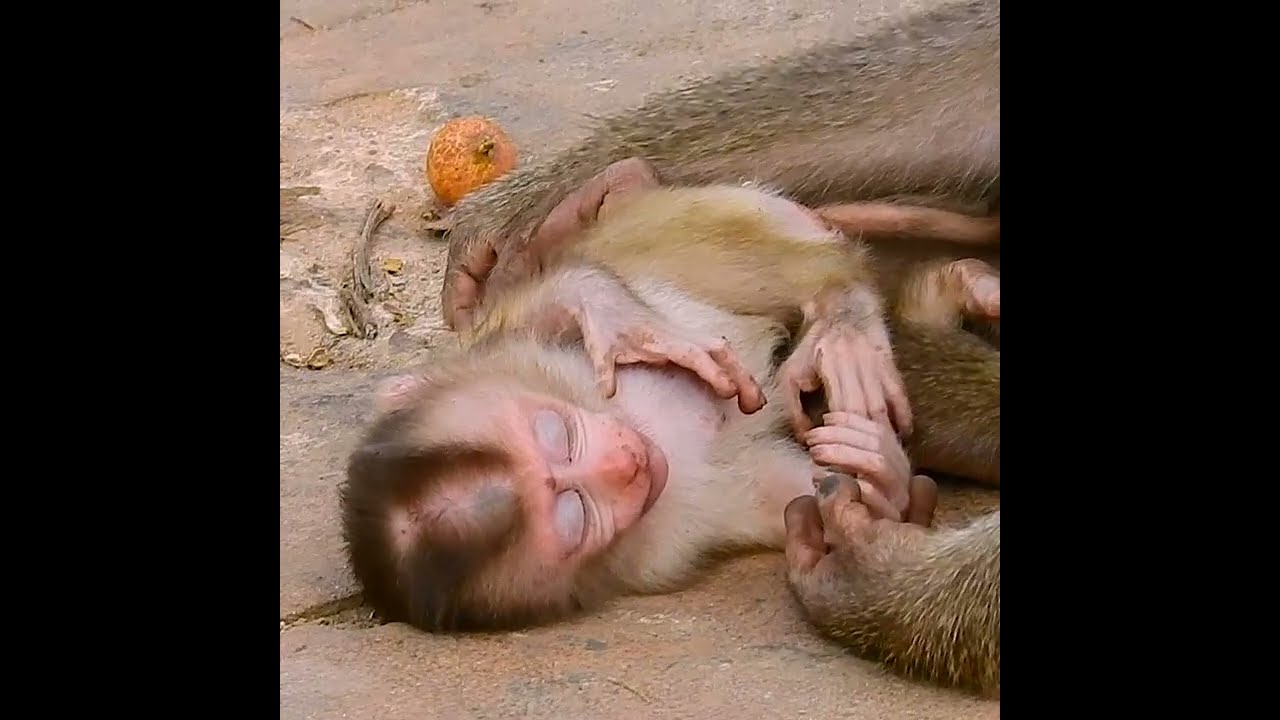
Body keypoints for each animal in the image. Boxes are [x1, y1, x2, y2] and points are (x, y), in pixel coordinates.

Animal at [339, 182, 999, 654]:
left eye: (560, 435)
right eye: (575, 513)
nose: (625, 462)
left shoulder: (506, 353)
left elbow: (555, 296)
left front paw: (622, 325)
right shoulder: (664, 543)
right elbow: (799, 498)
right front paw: (881, 477)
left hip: (708, 214)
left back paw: (843, 303)